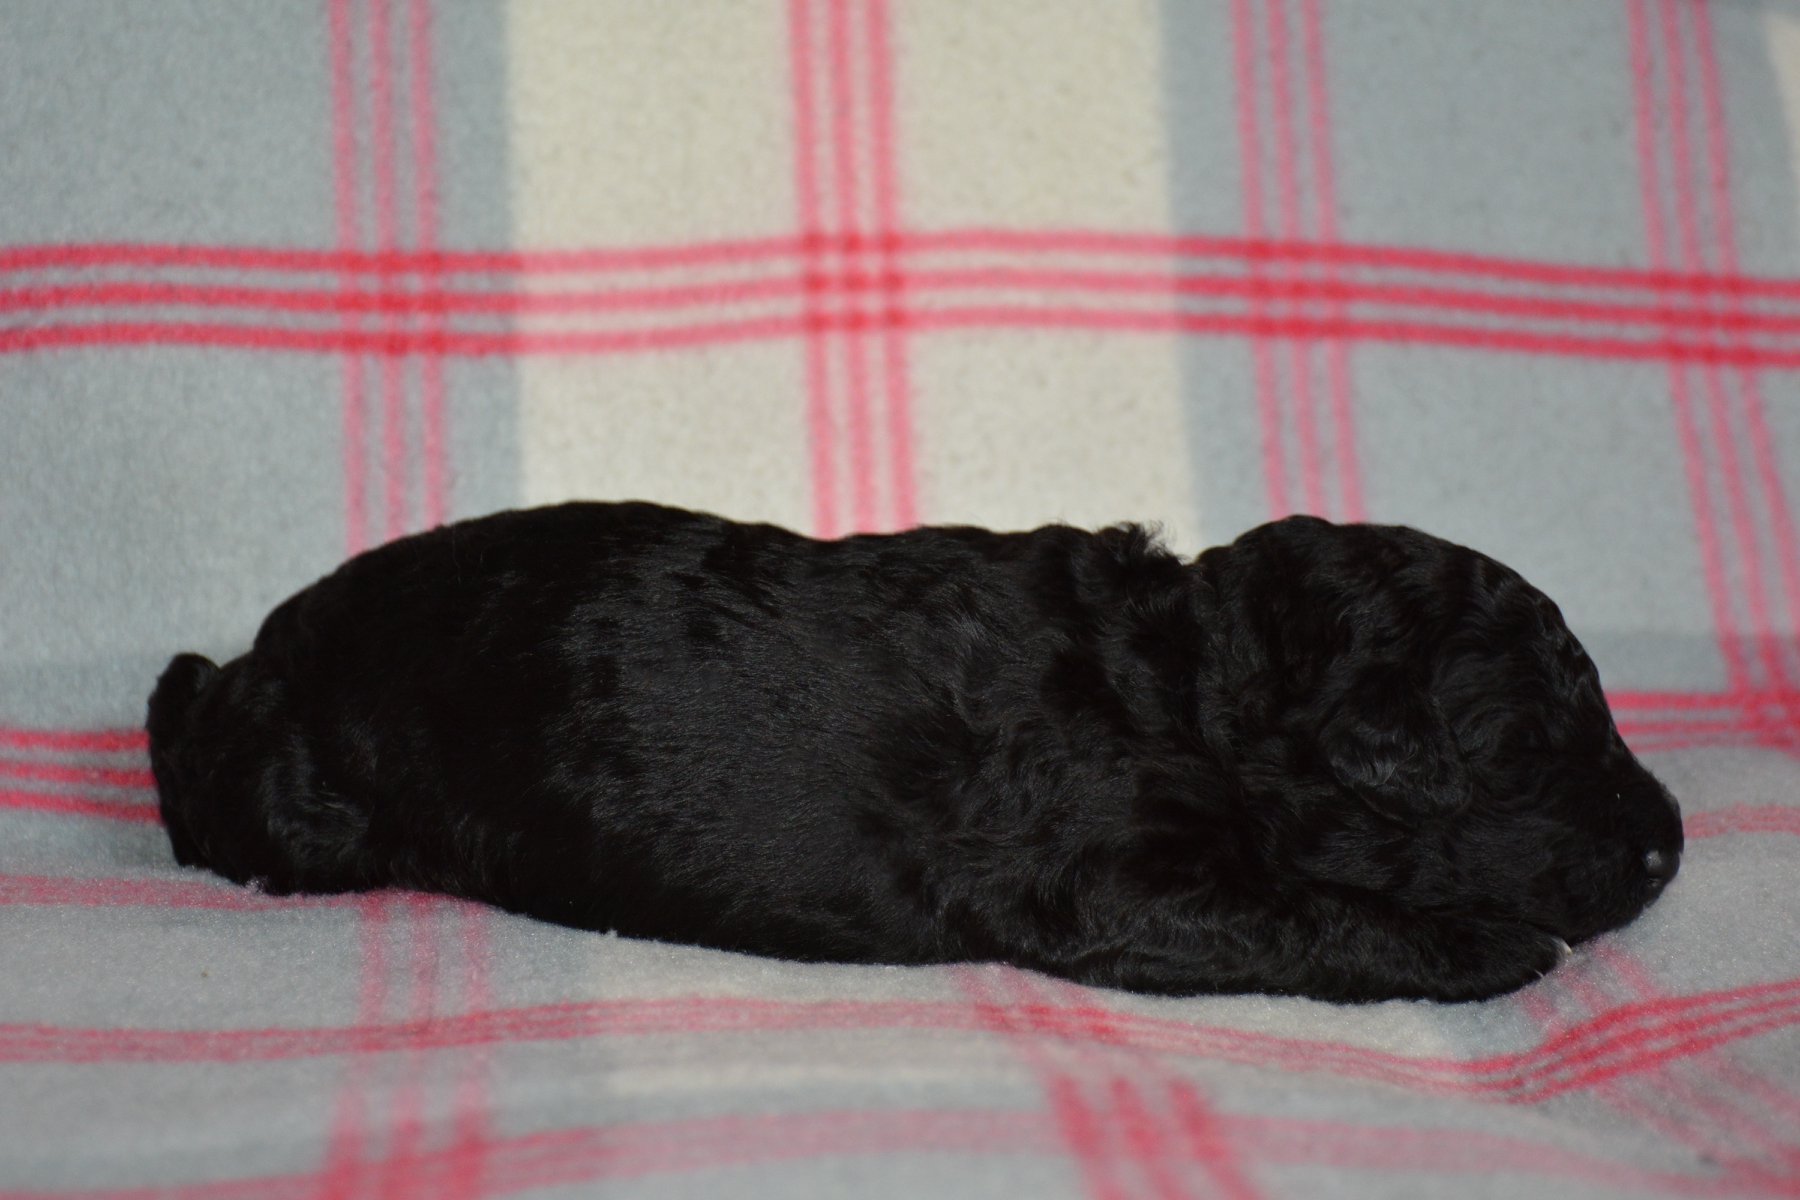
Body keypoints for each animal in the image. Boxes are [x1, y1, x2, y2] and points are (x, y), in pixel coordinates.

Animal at [147, 503, 1683, 1002]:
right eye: (1529, 744)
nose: (1673, 844)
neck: (1184, 679)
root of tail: (276, 638)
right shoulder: (1111, 874)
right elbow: (1309, 913)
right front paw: (1486, 946)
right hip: (288, 794)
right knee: (185, 728)